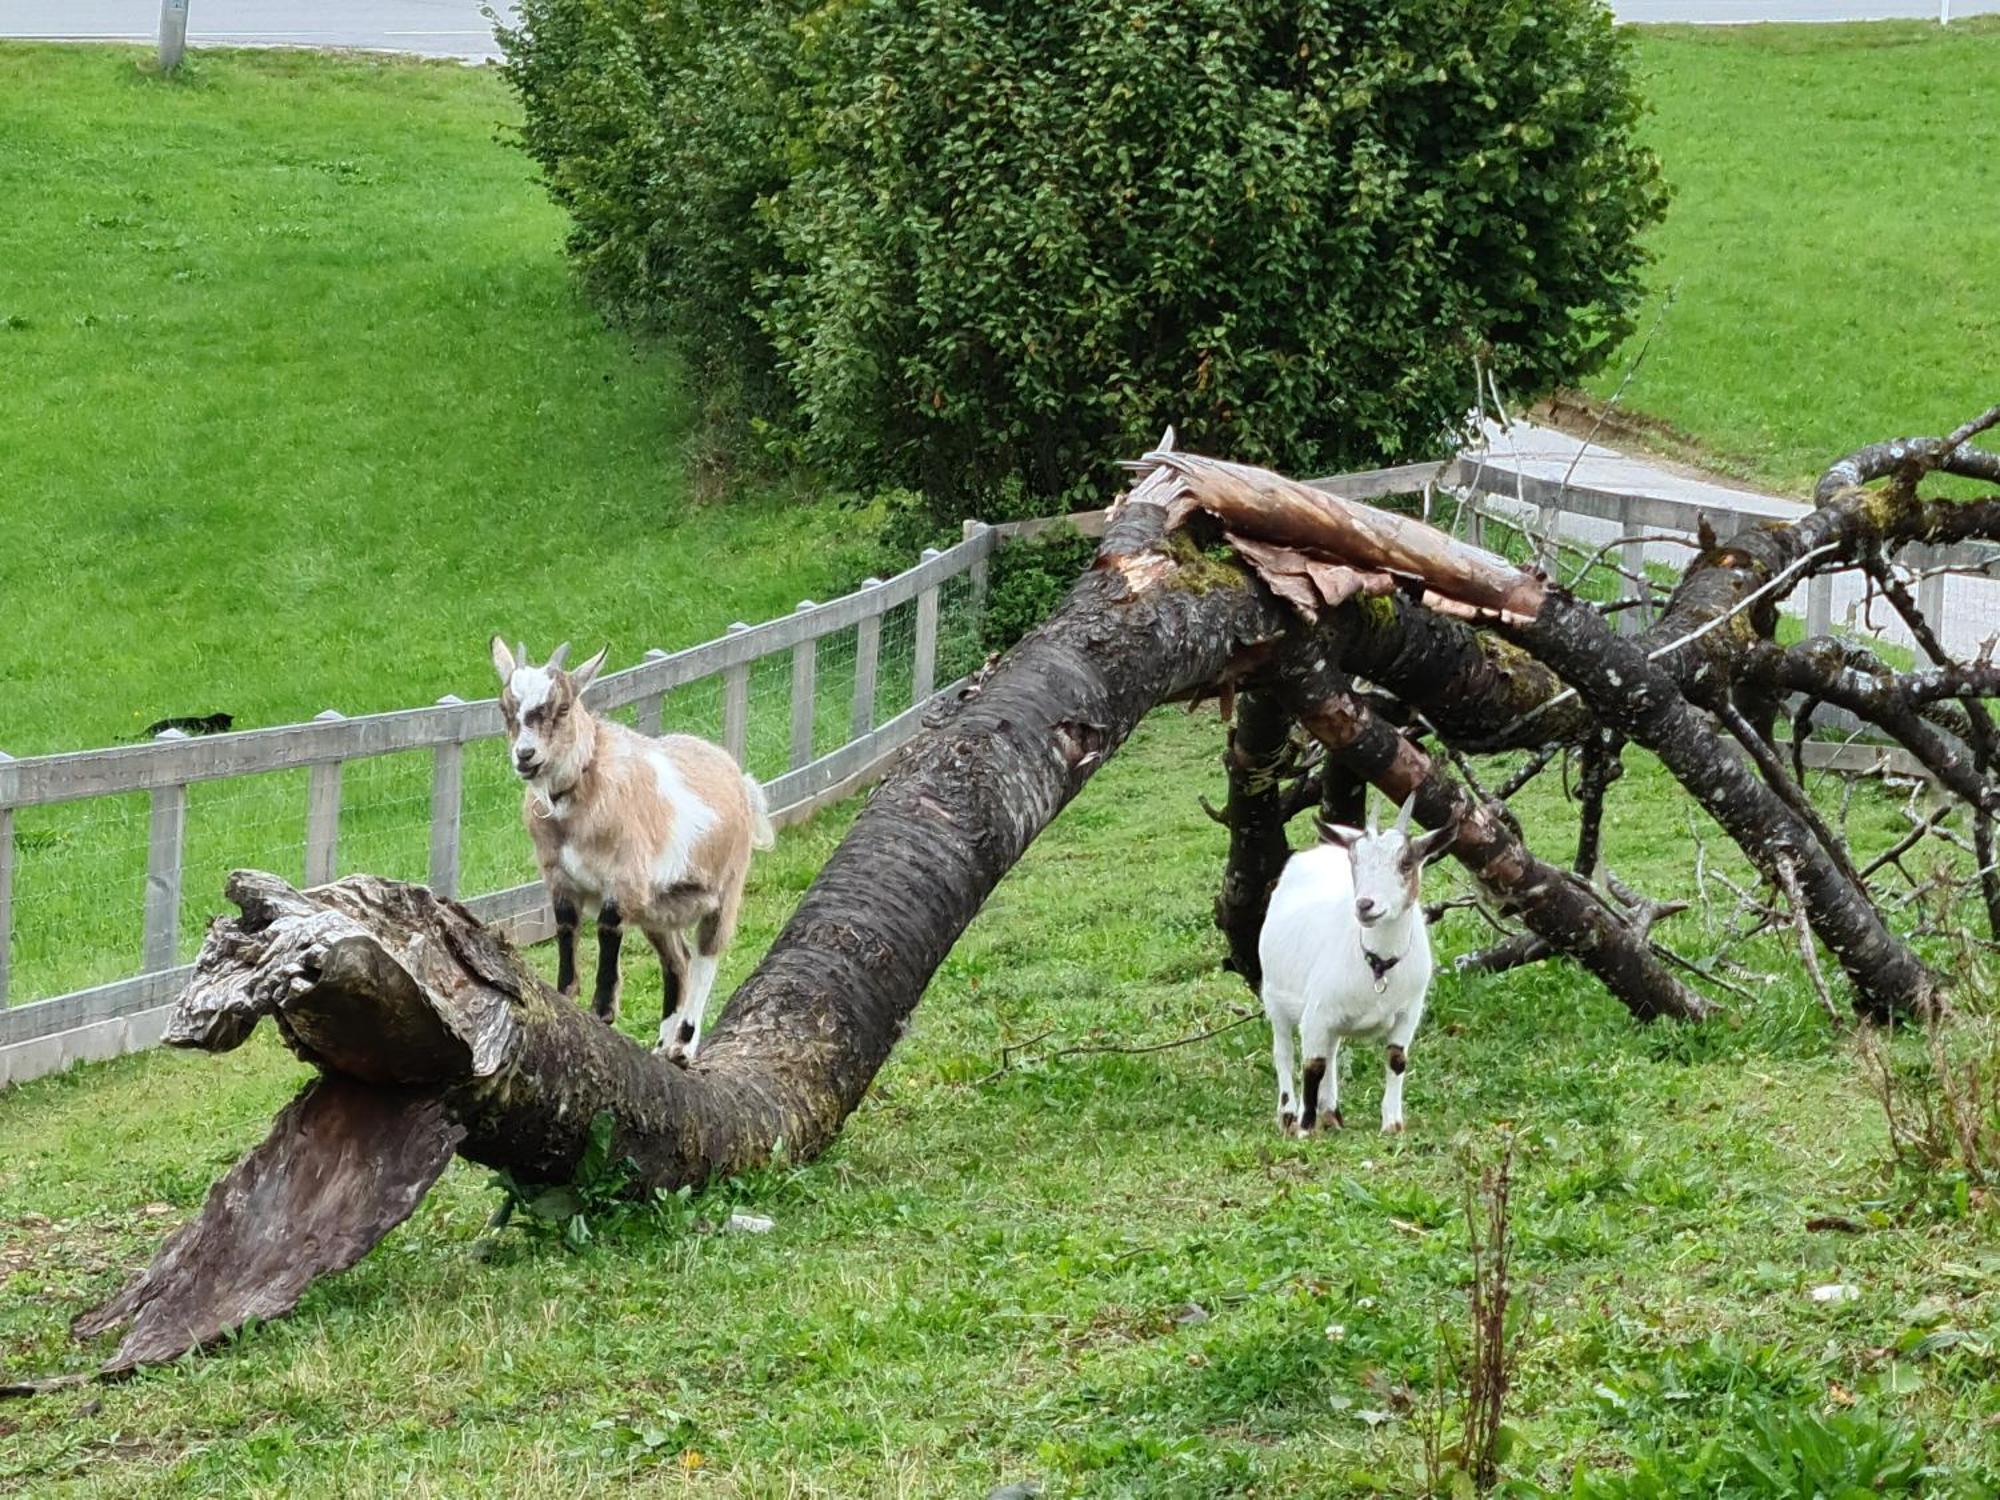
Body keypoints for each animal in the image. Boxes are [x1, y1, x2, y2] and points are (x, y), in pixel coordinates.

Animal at [484, 640, 772, 1064]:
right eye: (505, 708)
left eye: (564, 707)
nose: (526, 755)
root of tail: (738, 775)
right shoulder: (559, 878)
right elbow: (566, 927)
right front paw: (566, 994)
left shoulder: (625, 877)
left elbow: (607, 928)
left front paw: (603, 1010)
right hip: (660, 909)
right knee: (678, 960)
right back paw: (662, 1043)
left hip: (726, 886)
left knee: (707, 955)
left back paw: (683, 1045)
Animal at [1264, 800, 1456, 1136]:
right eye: (1355, 861)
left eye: (1406, 863)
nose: (1365, 905)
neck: (1378, 965)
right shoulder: (1315, 1013)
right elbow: (1312, 1066)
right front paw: (1304, 1128)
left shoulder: (1409, 1012)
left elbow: (1396, 1059)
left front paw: (1392, 1124)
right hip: (1274, 997)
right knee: (1284, 1052)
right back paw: (1288, 1114)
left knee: (1331, 1052)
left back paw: (1332, 1113)